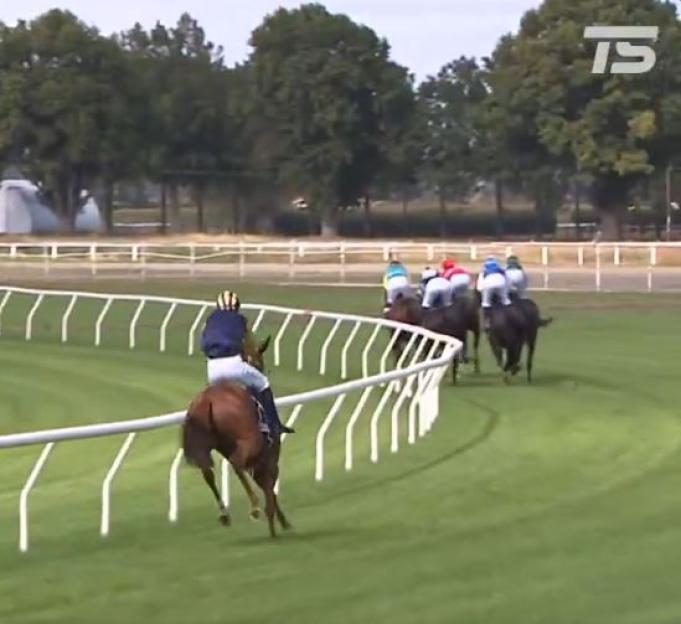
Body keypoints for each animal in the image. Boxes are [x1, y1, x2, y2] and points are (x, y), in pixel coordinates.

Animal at [181, 336, 290, 536]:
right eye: (260, 361)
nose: (262, 368)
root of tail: (208, 400)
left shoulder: (257, 461)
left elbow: (267, 486)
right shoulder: (268, 458)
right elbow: (270, 487)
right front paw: (278, 522)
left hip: (203, 446)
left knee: (207, 473)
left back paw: (225, 514)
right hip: (249, 442)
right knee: (236, 463)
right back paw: (255, 507)